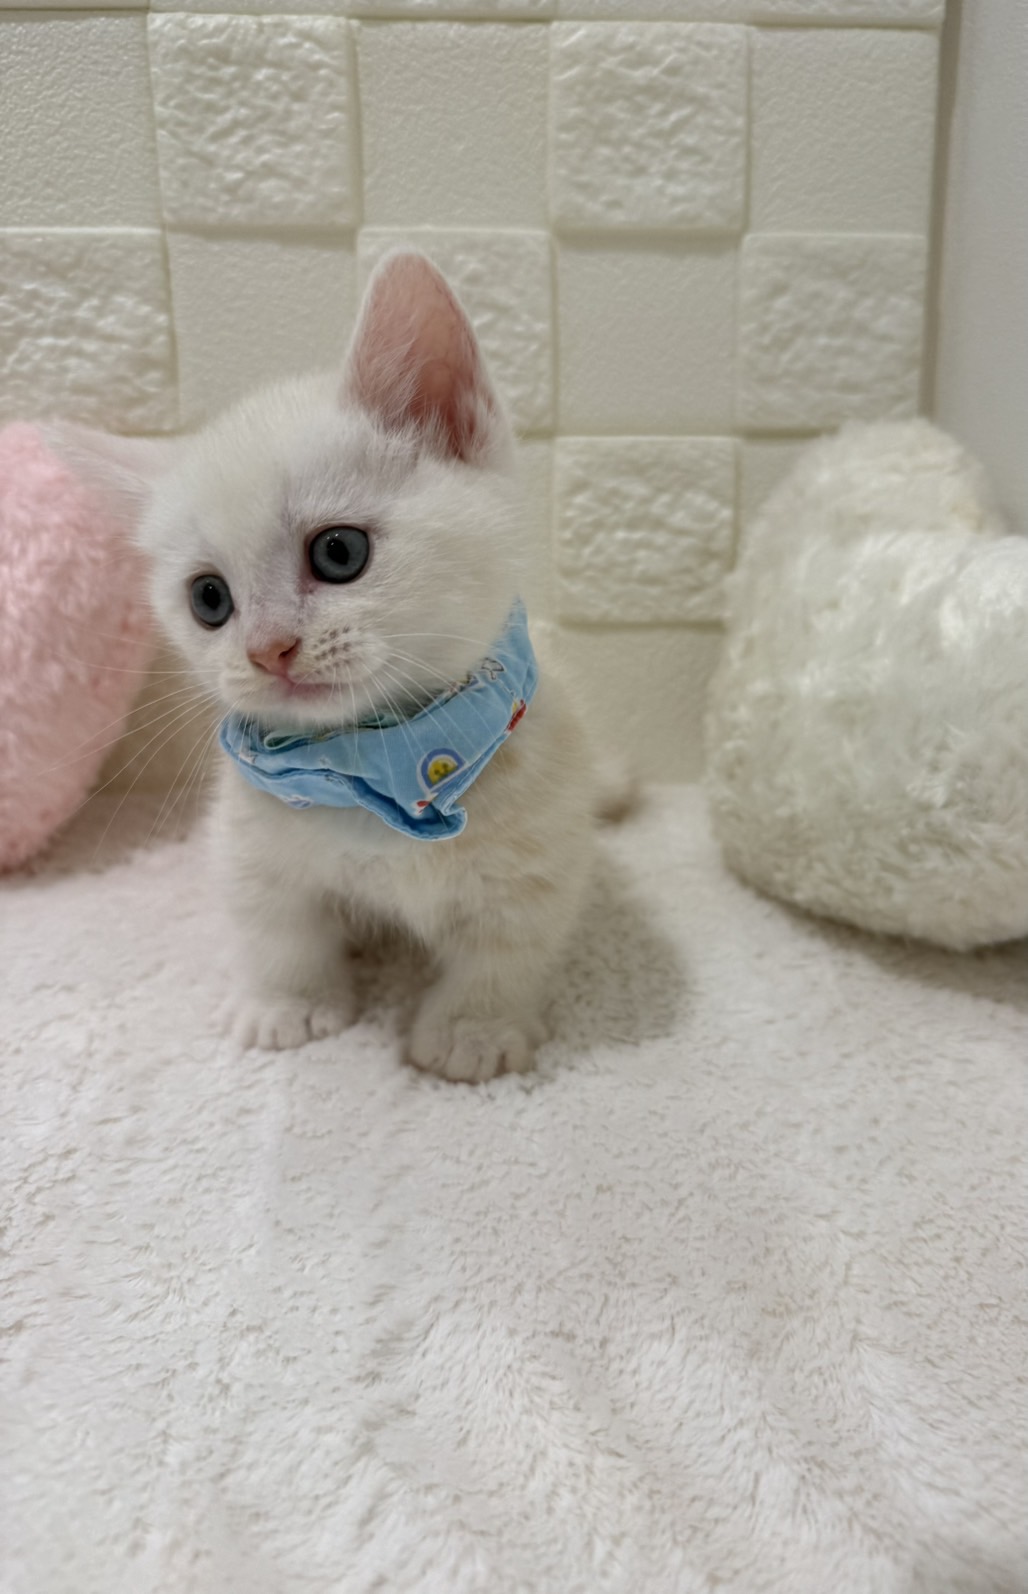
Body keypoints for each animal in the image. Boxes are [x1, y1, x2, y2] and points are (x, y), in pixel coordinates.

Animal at [63, 251, 603, 1083]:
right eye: (208, 599)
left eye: (339, 552)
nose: (268, 649)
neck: (379, 766)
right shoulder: (252, 845)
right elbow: (277, 929)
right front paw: (284, 1005)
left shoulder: (541, 852)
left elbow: (506, 949)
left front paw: (473, 1030)